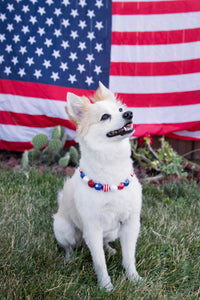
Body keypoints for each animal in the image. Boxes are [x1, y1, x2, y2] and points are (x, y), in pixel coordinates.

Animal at [53, 81, 142, 290]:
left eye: (121, 110)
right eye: (105, 117)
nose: (129, 113)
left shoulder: (131, 223)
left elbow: (129, 256)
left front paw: (133, 278)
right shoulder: (92, 227)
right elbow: (100, 263)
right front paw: (106, 287)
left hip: (113, 232)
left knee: (103, 243)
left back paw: (110, 249)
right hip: (64, 228)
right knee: (69, 246)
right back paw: (68, 259)